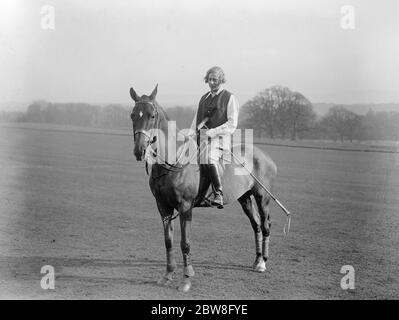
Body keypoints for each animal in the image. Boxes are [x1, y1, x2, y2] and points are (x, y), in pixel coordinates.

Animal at [130, 85, 276, 292]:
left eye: (151, 115)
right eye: (133, 115)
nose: (139, 150)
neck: (171, 163)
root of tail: (265, 156)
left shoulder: (185, 207)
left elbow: (185, 243)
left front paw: (186, 280)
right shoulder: (163, 207)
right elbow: (168, 241)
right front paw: (167, 275)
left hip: (262, 197)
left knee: (265, 225)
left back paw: (263, 263)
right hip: (245, 197)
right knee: (255, 224)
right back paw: (256, 261)